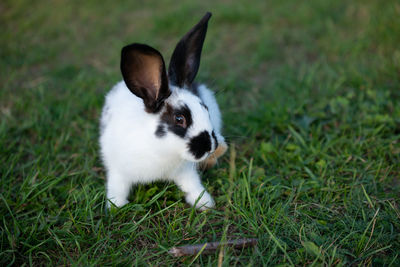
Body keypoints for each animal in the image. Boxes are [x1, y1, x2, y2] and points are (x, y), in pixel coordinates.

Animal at [99, 12, 227, 210]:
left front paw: (205, 203)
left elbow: (193, 186)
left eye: (205, 108)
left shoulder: (185, 171)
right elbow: (116, 189)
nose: (209, 146)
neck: (161, 150)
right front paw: (115, 207)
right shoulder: (118, 171)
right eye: (179, 119)